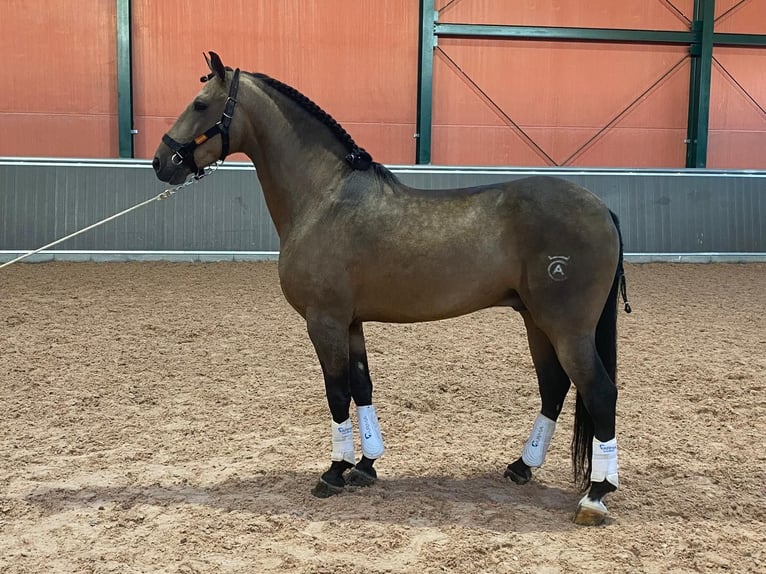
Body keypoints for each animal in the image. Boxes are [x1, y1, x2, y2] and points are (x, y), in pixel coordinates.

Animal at [153, 51, 632, 528]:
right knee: (554, 387)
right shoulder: (350, 323)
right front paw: (365, 465)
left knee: (599, 392)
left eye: (200, 103)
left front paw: (334, 471)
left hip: (567, 329)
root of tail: (602, 208)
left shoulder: (324, 322)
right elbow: (362, 387)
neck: (324, 198)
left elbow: (337, 392)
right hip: (536, 322)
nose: (161, 162)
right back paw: (521, 467)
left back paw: (595, 495)